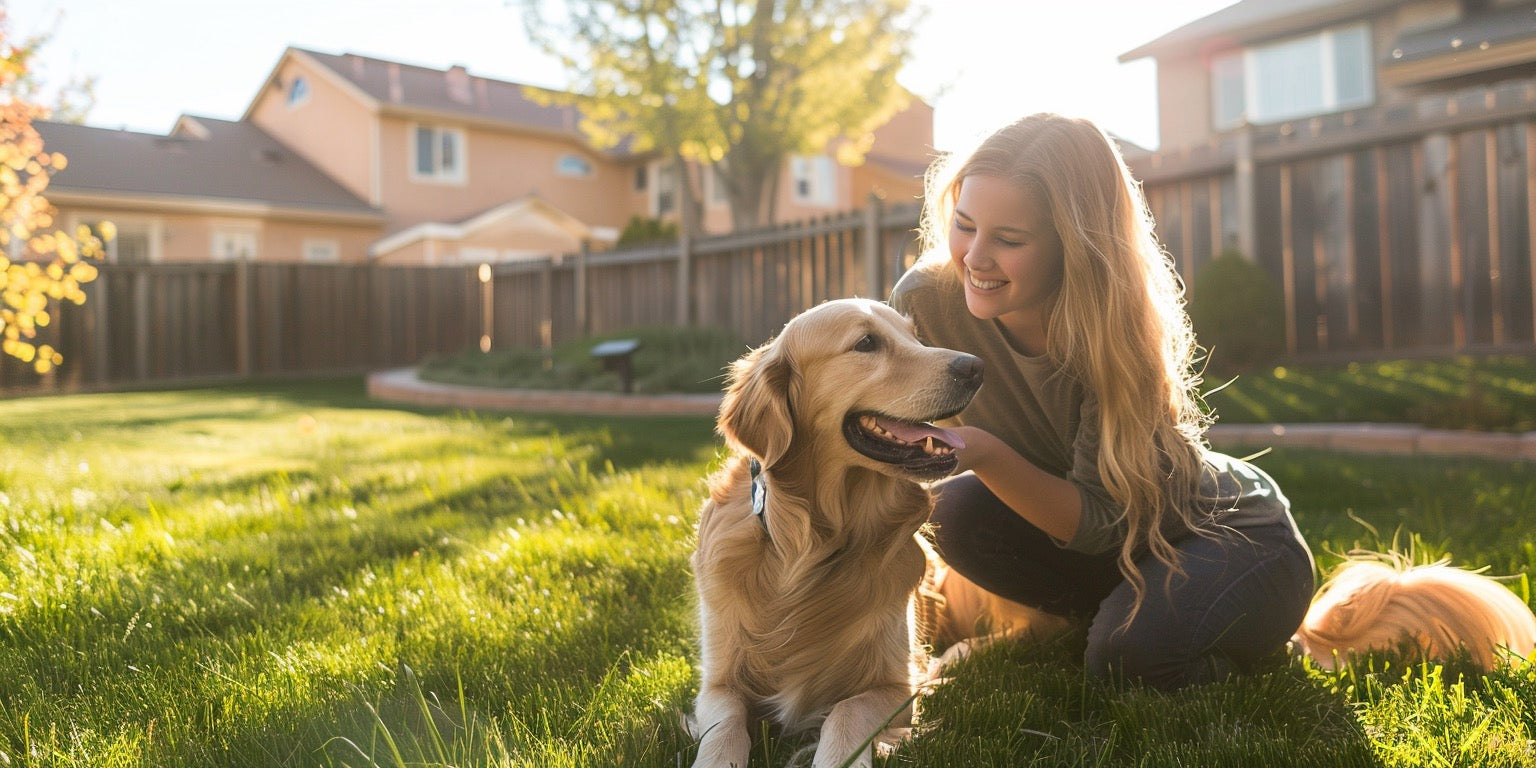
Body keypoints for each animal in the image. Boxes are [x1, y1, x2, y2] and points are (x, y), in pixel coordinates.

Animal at [688, 297, 976, 768]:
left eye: (915, 336)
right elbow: (725, 725)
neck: (812, 547)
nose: (977, 366)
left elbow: (846, 711)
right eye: (866, 343)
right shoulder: (718, 682)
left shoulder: (897, 686)